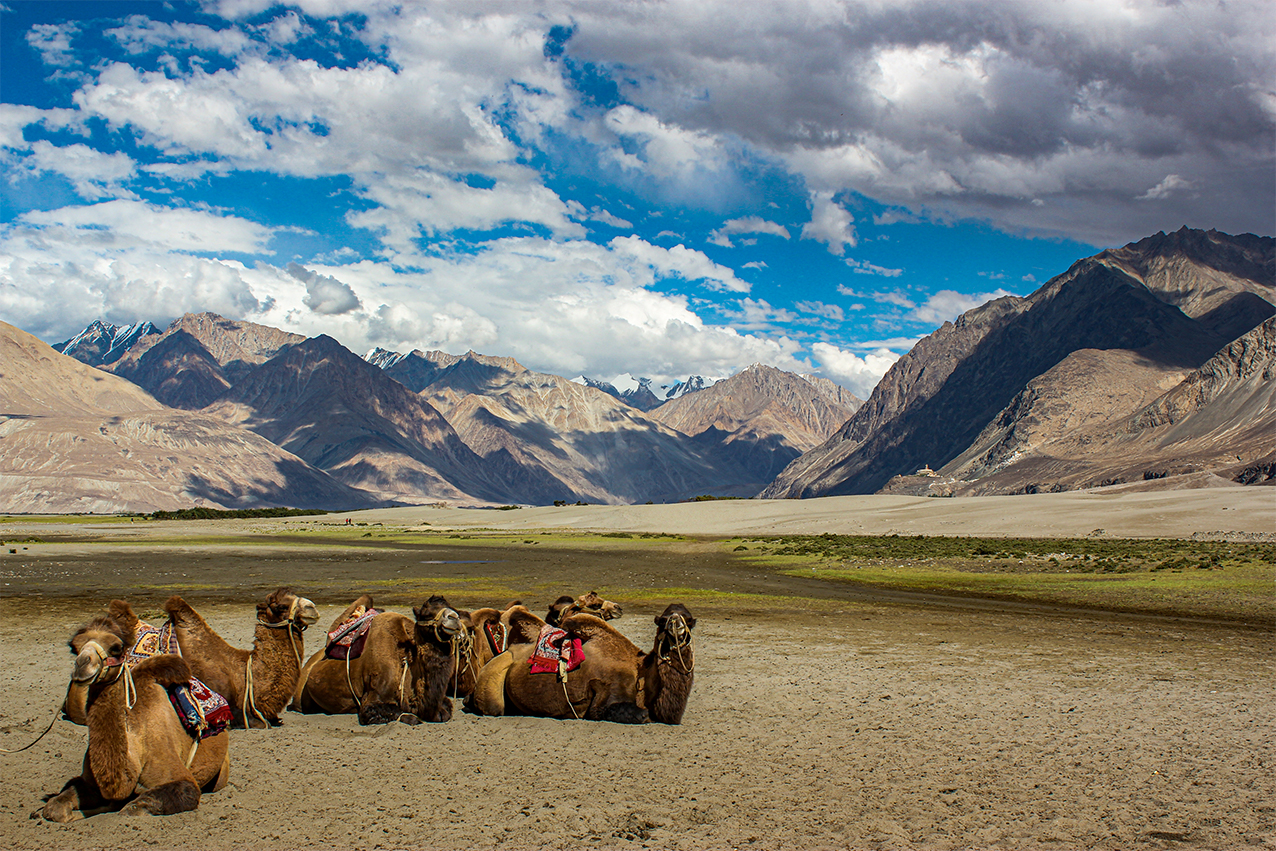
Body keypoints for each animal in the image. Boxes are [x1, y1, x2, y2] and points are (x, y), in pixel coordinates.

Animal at [34, 609, 229, 821]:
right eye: (74, 648)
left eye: (116, 648)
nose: (81, 664)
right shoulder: (88, 782)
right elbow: (55, 806)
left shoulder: (177, 774)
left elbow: (130, 809)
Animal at [289, 597, 464, 724]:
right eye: (426, 613)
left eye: (455, 609)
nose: (453, 618)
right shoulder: (373, 701)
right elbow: (403, 714)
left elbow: (444, 711)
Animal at [467, 602, 694, 724]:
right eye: (664, 619)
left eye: (689, 619)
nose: (676, 626)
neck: (640, 674)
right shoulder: (607, 695)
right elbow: (641, 714)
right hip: (494, 681)